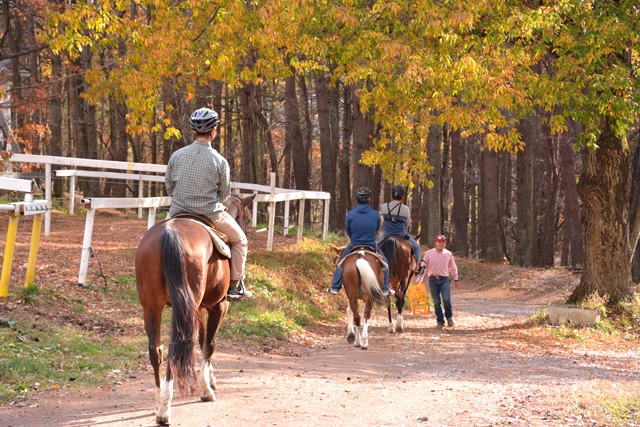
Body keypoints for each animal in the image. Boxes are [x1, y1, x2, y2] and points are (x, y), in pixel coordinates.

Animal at [135, 194, 255, 424]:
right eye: (246, 217)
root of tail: (170, 233)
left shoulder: (197, 309)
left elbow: (202, 340)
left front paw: (210, 379)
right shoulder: (219, 306)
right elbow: (209, 343)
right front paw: (207, 389)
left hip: (152, 306)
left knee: (156, 349)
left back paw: (159, 401)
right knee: (176, 346)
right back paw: (165, 409)